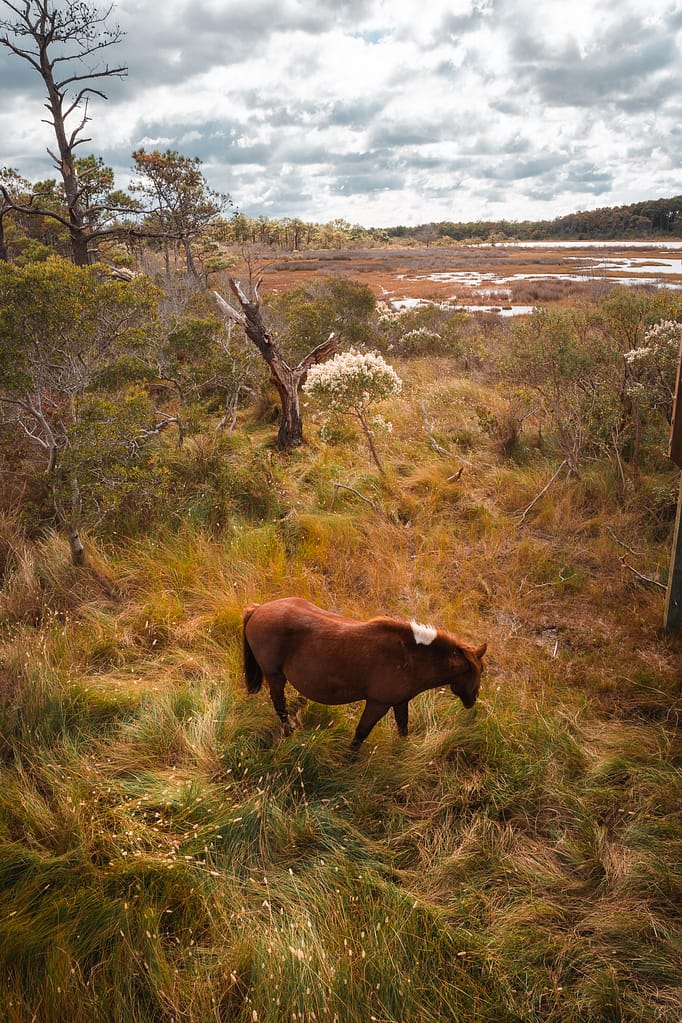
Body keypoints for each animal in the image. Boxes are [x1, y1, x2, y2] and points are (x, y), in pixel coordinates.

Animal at [242, 597, 488, 752]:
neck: (409, 655)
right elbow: (361, 732)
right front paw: (349, 761)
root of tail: (258, 609)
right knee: (279, 704)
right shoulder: (378, 703)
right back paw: (289, 731)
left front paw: (403, 751)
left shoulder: (400, 702)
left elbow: (403, 727)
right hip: (275, 676)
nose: (473, 699)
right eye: (482, 671)